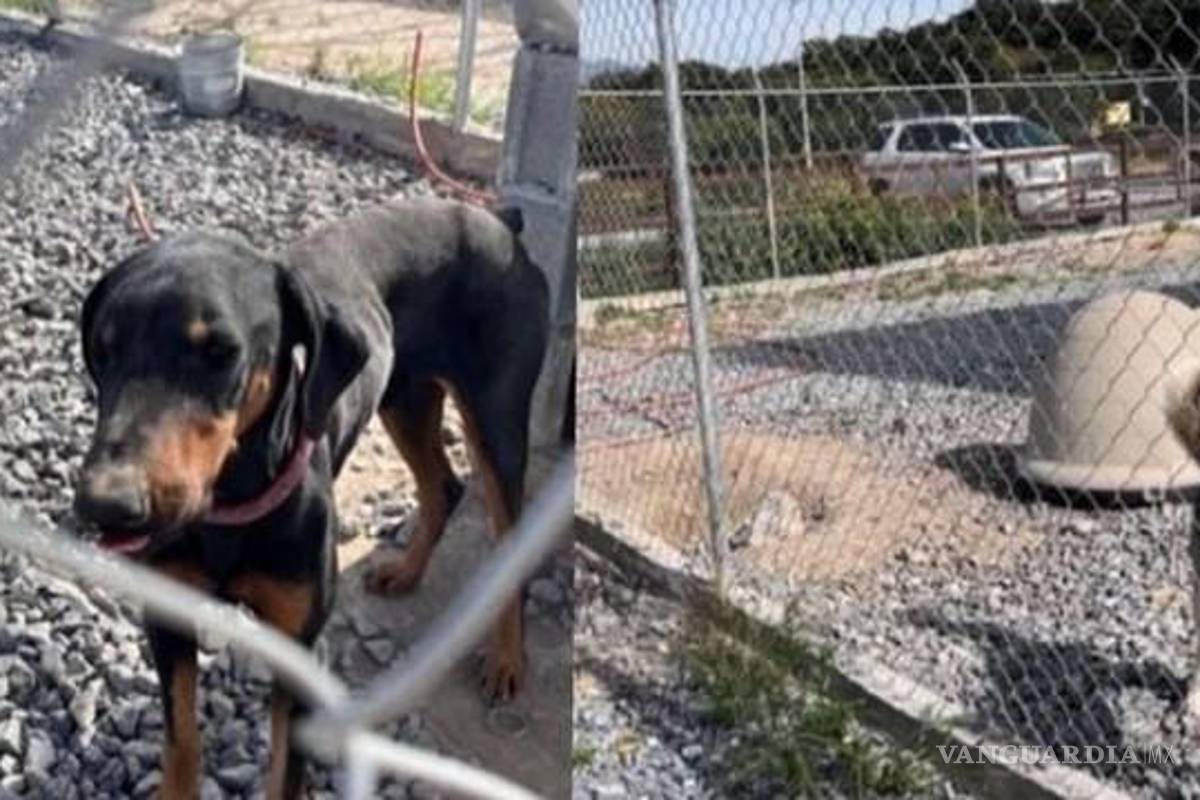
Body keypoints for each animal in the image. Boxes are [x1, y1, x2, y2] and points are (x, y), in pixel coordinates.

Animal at [72, 197, 549, 798]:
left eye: (220, 351)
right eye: (102, 350)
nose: (105, 505)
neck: (227, 509)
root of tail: (498, 220)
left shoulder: (298, 648)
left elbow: (284, 771)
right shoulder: (168, 615)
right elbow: (181, 739)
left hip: (496, 420)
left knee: (509, 536)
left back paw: (506, 660)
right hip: (404, 396)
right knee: (443, 485)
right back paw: (405, 571)